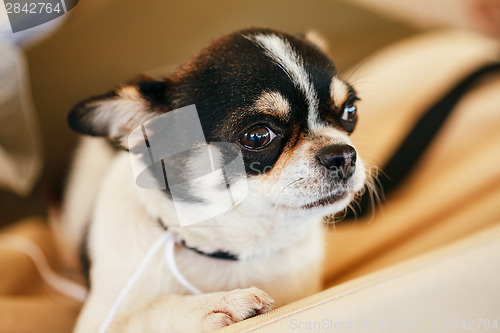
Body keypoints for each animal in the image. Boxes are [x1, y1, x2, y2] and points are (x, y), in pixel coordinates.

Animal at [58, 27, 366, 330]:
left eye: (350, 111)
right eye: (257, 136)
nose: (342, 155)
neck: (239, 252)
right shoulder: (98, 322)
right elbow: (149, 310)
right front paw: (217, 302)